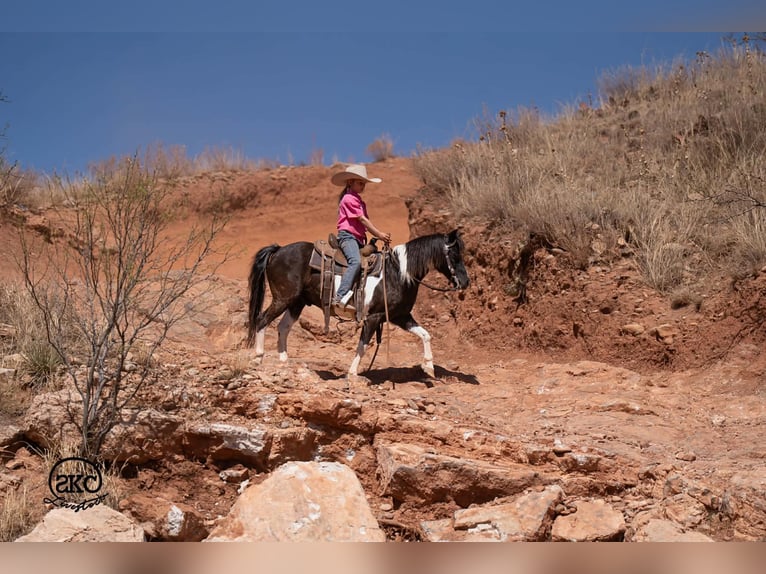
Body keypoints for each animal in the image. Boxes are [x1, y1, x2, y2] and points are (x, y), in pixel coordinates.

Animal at [246, 229, 470, 381]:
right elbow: (363, 344)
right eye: (455, 255)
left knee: (283, 327)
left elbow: (425, 334)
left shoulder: (401, 316)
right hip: (283, 298)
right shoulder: (373, 317)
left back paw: (284, 360)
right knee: (262, 320)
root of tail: (278, 251)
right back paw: (258, 357)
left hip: (296, 303)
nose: (465, 282)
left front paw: (429, 367)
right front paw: (352, 373)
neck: (398, 273)